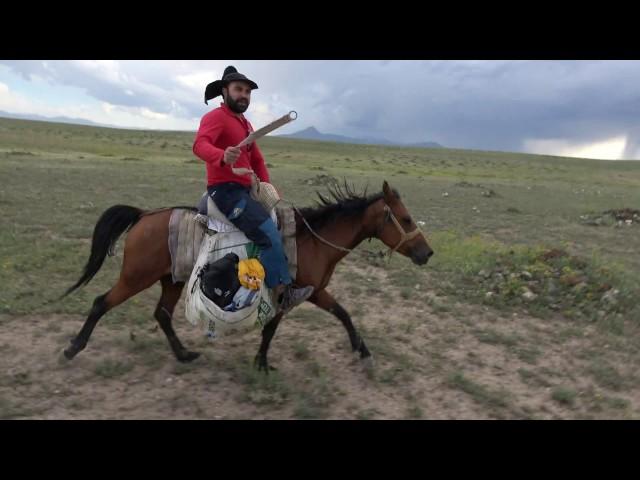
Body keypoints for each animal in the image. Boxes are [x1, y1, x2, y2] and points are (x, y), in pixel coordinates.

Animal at [62, 180, 432, 372]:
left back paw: (184, 355)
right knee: (101, 303)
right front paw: (262, 363)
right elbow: (272, 329)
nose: (427, 254)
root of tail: (143, 215)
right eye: (406, 219)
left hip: (172, 279)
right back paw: (73, 348)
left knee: (162, 314)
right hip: (135, 277)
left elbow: (342, 313)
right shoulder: (292, 291)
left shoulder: (313, 291)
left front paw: (362, 349)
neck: (313, 240)